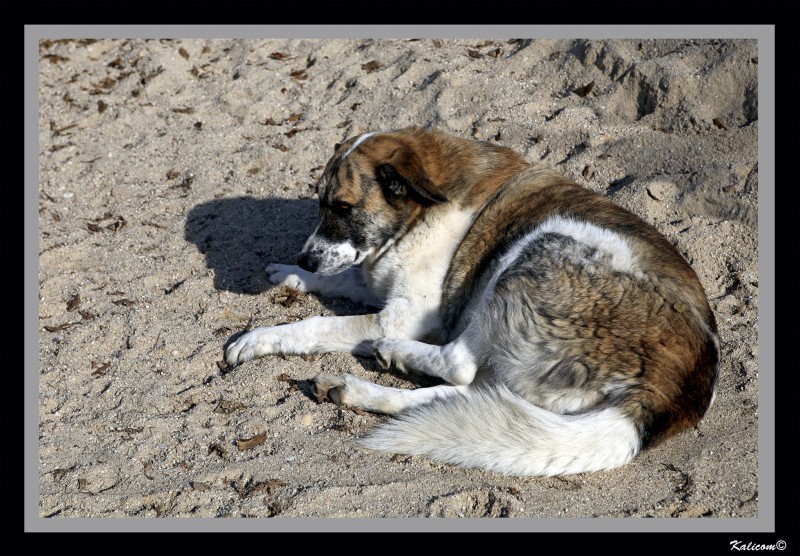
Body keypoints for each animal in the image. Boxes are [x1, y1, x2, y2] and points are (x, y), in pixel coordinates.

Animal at [223, 127, 720, 478]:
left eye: (343, 208)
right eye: (320, 204)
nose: (306, 256)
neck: (419, 213)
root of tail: (671, 387)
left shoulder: (398, 316)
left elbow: (314, 326)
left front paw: (258, 337)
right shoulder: (374, 280)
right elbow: (343, 277)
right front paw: (293, 274)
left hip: (539, 246)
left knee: (458, 363)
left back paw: (391, 355)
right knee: (462, 396)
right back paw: (356, 389)